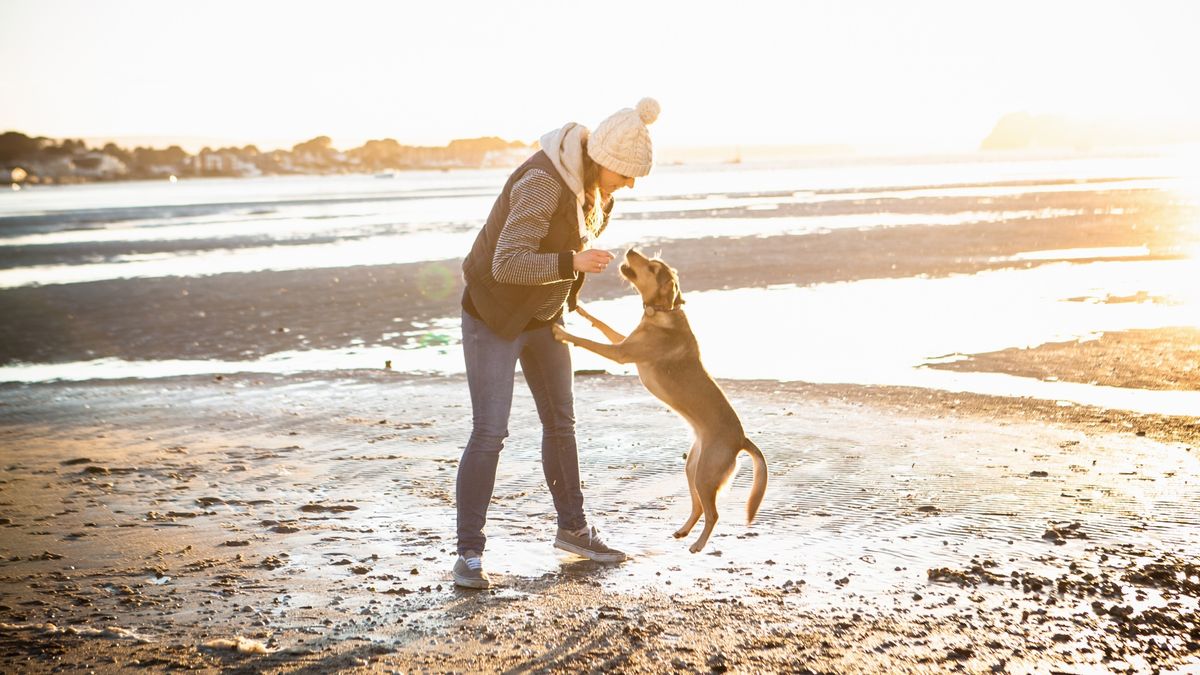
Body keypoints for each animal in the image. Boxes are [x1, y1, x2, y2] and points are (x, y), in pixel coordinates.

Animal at [552, 248, 768, 552]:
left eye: (653, 268)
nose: (631, 249)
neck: (663, 313)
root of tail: (741, 439)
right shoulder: (624, 342)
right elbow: (604, 325)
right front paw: (581, 308)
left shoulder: (620, 353)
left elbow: (589, 342)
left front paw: (563, 332)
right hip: (693, 468)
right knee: (699, 507)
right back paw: (683, 531)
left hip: (705, 474)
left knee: (713, 513)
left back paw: (698, 544)